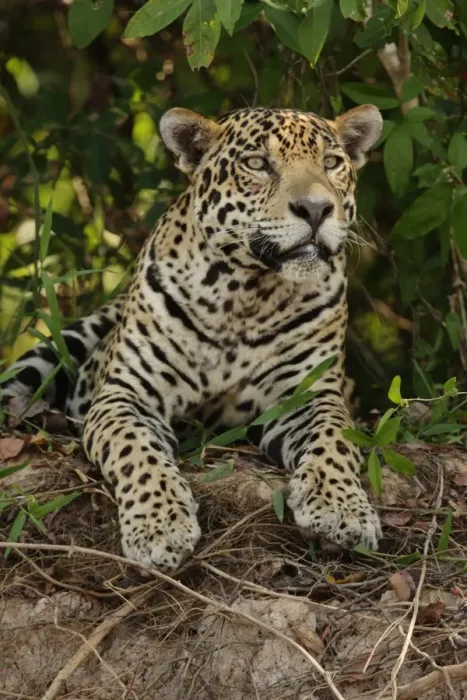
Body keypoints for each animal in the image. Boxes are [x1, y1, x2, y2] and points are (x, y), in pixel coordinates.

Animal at [2, 104, 384, 573]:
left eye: (331, 163)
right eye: (257, 164)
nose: (316, 209)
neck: (246, 295)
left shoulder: (310, 396)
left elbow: (335, 441)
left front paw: (342, 510)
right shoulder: (125, 396)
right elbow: (135, 451)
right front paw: (159, 528)